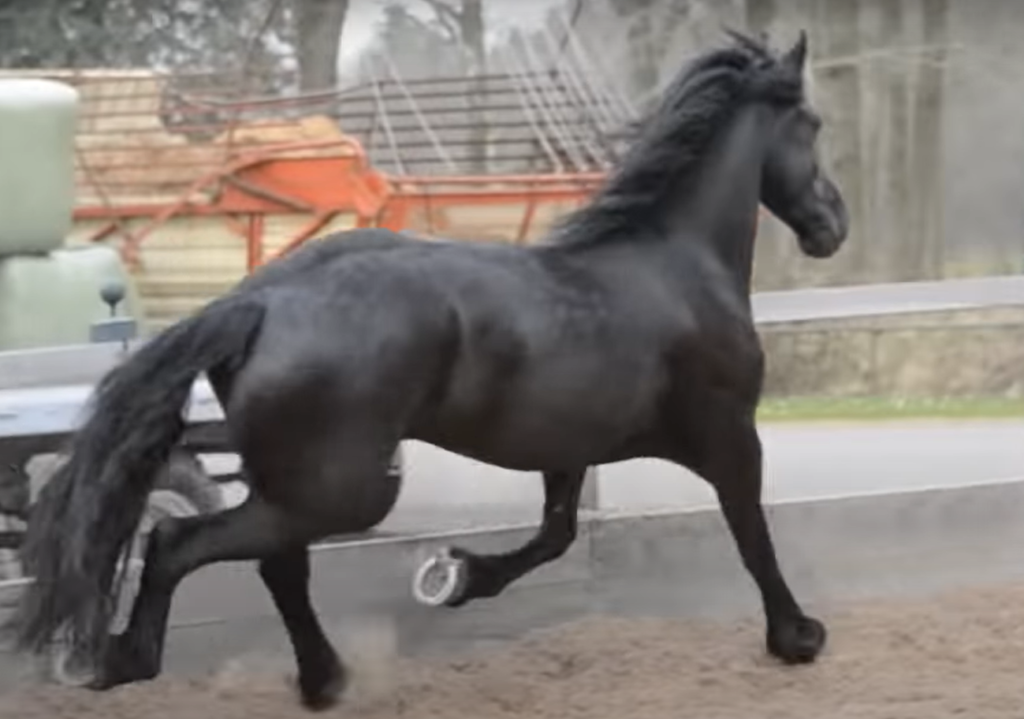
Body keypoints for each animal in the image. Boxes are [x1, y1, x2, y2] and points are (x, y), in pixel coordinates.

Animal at [10, 29, 848, 710]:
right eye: (810, 124)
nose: (833, 226)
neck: (675, 266)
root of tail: (261, 302)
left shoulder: (567, 451)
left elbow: (556, 535)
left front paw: (456, 577)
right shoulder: (730, 433)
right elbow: (751, 530)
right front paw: (797, 636)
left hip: (300, 485)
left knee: (277, 566)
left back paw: (323, 680)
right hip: (343, 491)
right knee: (180, 542)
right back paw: (127, 660)